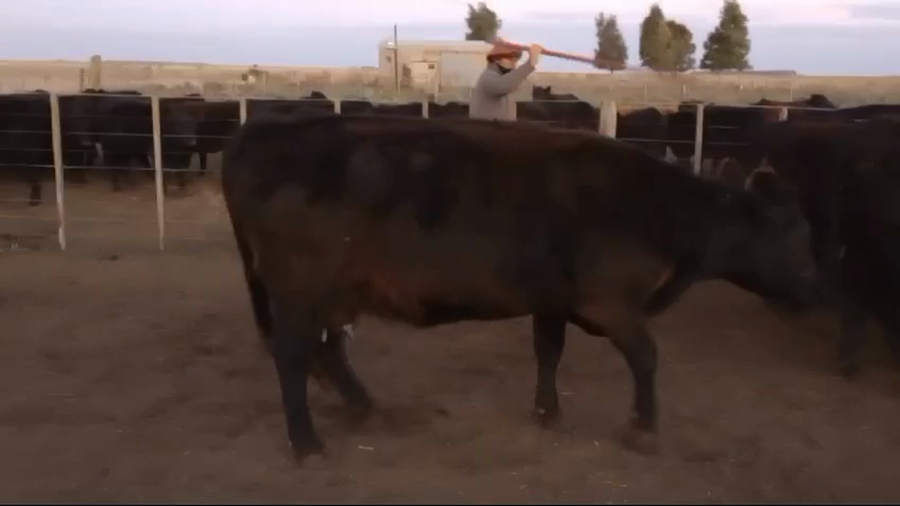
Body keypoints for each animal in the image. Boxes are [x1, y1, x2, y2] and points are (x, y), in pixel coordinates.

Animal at [220, 113, 820, 462]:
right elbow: (646, 357)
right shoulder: (612, 301)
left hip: (333, 292)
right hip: (299, 290)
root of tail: (266, 130)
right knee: (293, 356)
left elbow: (548, 351)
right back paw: (306, 442)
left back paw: (362, 404)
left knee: (328, 350)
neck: (654, 208)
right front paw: (643, 429)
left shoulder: (553, 297)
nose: (820, 293)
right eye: (795, 235)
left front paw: (547, 411)